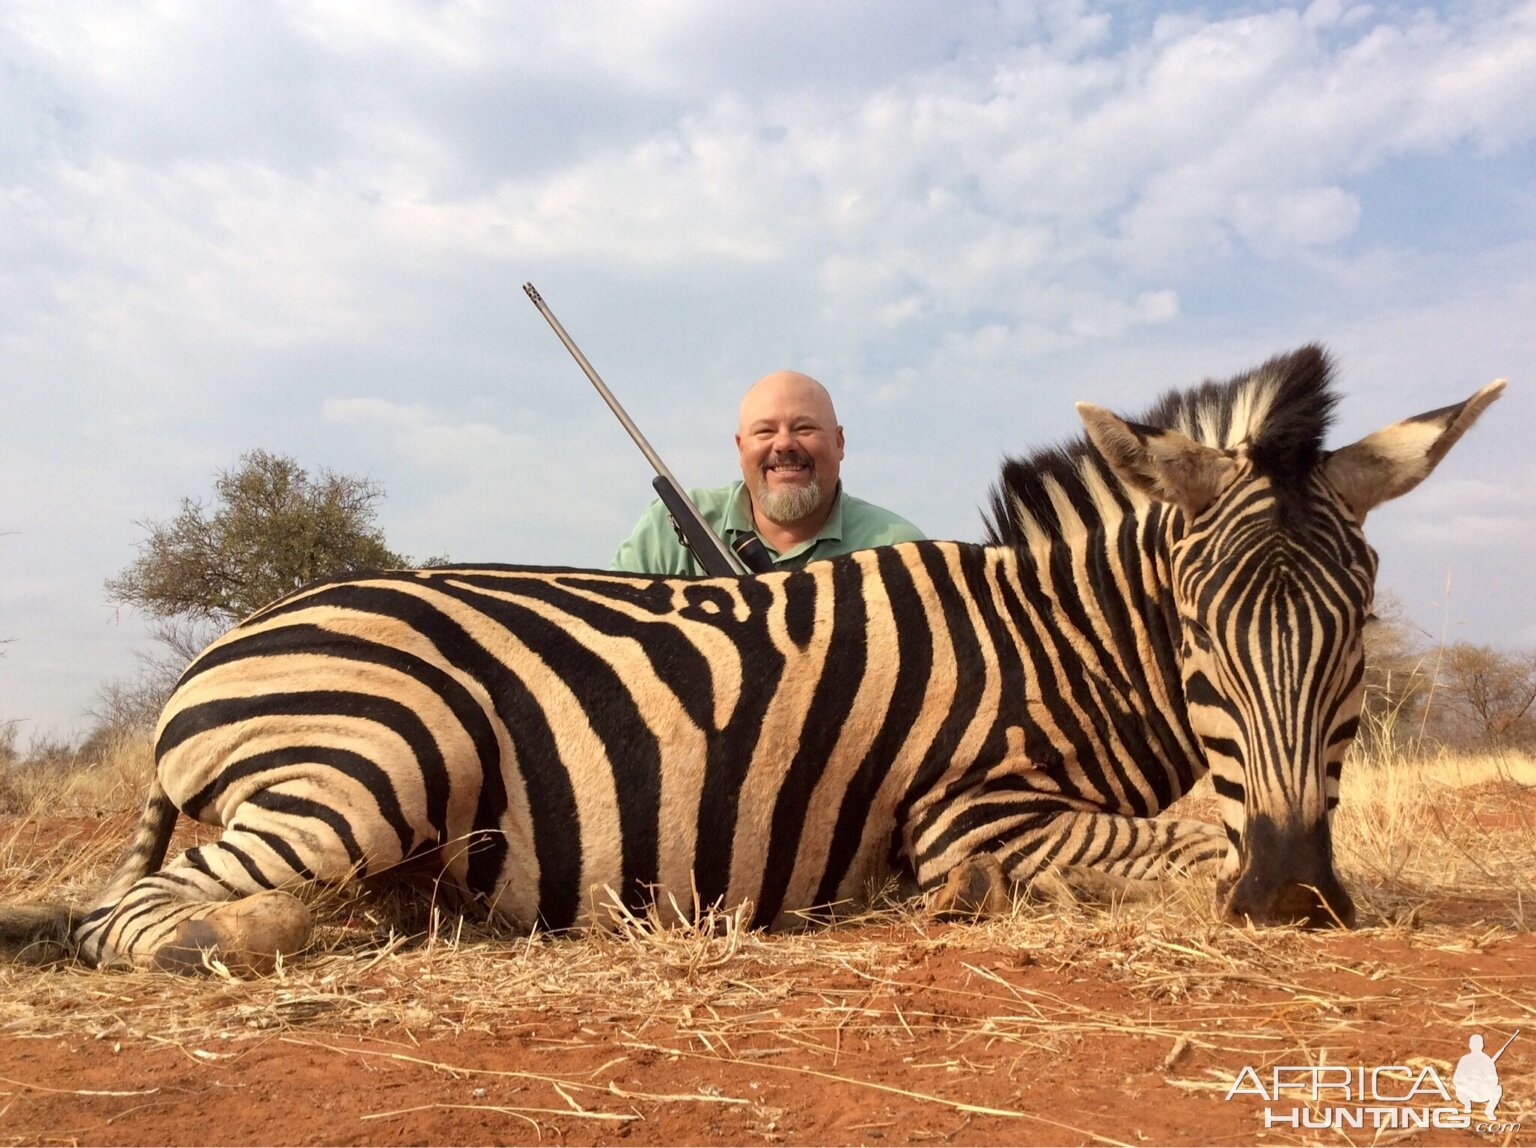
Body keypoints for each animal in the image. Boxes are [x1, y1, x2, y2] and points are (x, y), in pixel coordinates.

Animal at [0, 345, 1499, 977]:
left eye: (1360, 625)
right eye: (1198, 631)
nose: (1295, 893)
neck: (1058, 641)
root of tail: (216, 656)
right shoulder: (971, 809)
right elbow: (1183, 843)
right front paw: (965, 903)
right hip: (375, 754)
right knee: (138, 917)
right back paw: (253, 939)